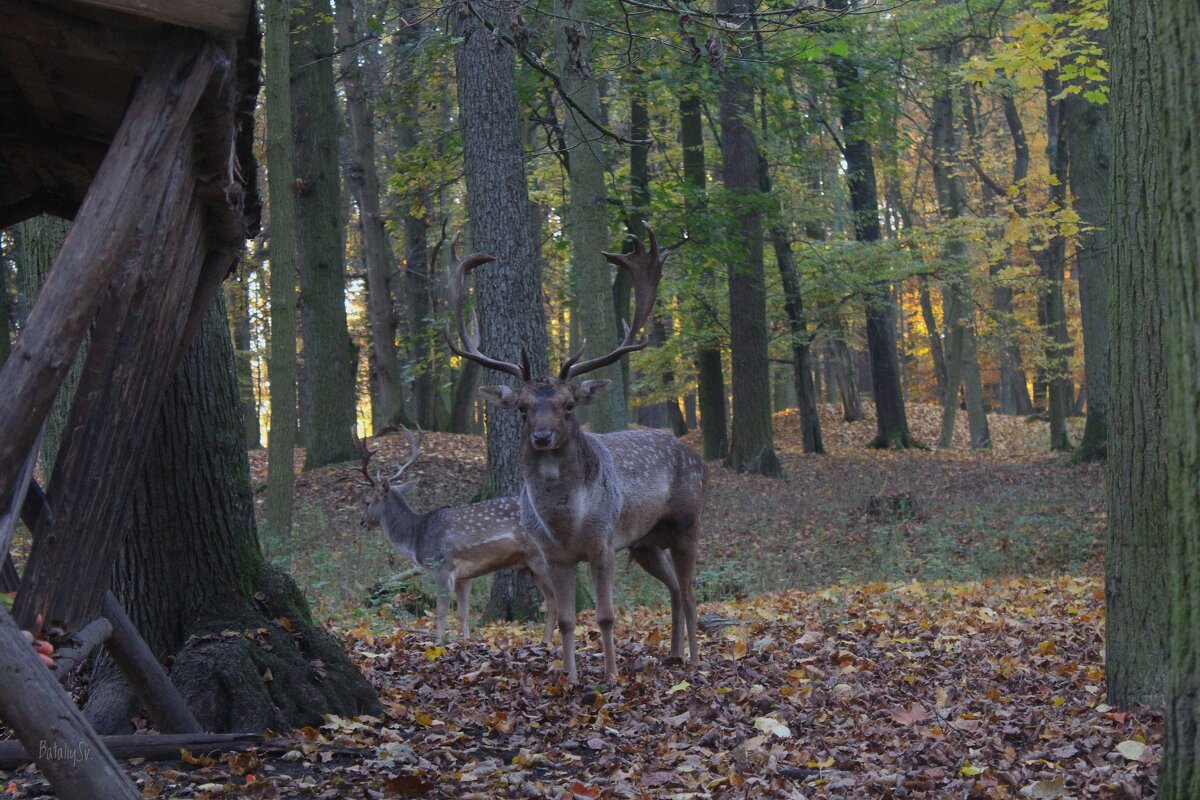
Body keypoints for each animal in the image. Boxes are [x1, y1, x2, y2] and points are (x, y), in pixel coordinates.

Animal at [352, 429, 559, 642]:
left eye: (367, 501)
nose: (363, 522)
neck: (416, 537)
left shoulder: (442, 567)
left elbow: (441, 611)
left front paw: (438, 643)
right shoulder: (464, 576)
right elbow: (463, 612)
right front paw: (466, 641)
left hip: (540, 557)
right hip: (530, 565)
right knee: (551, 601)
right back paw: (545, 641)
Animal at [451, 224, 710, 681]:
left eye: (569, 404)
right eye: (522, 408)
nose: (542, 436)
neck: (566, 525)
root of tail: (697, 456)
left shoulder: (603, 545)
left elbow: (606, 616)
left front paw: (609, 676)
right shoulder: (554, 555)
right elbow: (567, 619)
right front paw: (570, 678)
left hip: (686, 523)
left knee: (692, 591)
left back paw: (695, 661)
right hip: (645, 542)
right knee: (675, 591)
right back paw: (675, 653)